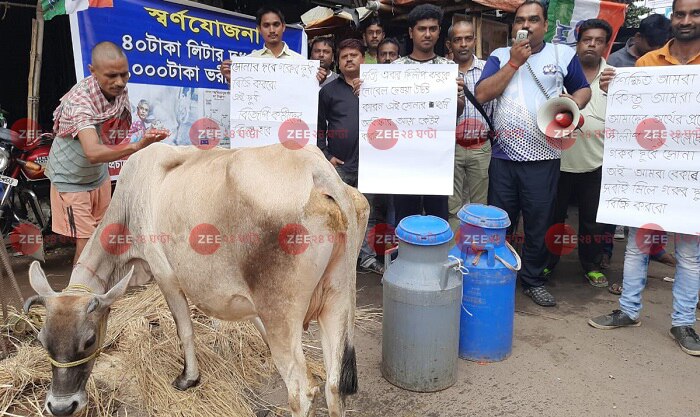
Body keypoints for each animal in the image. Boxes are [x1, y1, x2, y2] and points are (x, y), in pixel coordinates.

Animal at [23, 144, 370, 416]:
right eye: (42, 340)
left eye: (89, 340)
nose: (60, 406)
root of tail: (316, 169)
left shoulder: (164, 274)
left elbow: (185, 330)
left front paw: (188, 378)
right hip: (336, 300)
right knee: (334, 385)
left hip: (281, 311)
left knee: (301, 391)